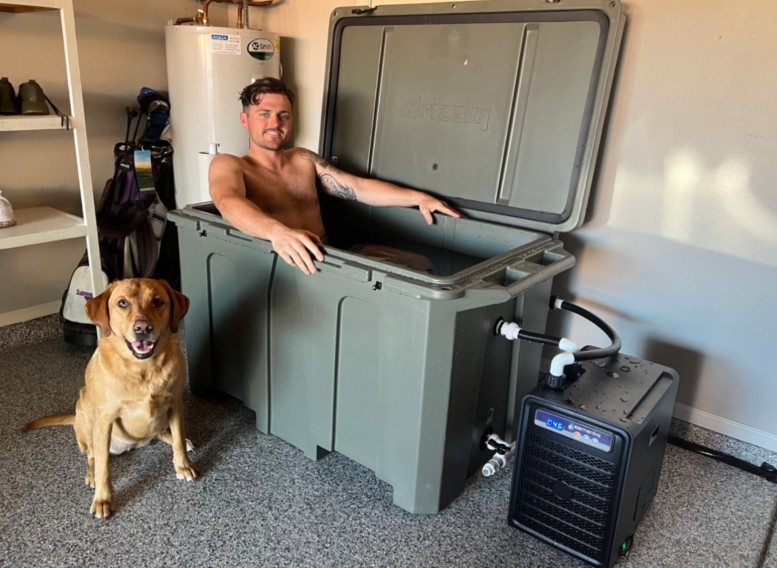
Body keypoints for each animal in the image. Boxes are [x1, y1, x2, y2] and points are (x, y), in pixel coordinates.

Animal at [24, 278, 197, 516]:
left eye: (157, 301)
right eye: (122, 303)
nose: (143, 328)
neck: (144, 369)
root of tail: (134, 445)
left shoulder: (175, 403)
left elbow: (178, 439)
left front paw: (183, 464)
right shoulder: (105, 419)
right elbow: (104, 467)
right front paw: (103, 499)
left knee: (163, 434)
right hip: (86, 416)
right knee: (92, 456)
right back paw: (91, 474)